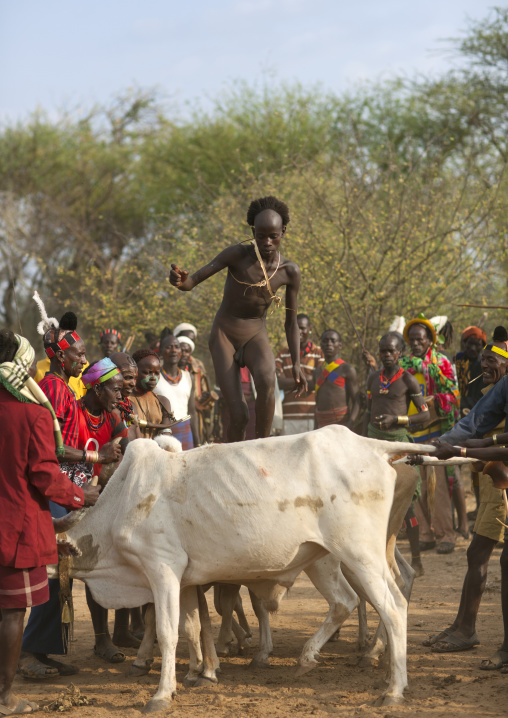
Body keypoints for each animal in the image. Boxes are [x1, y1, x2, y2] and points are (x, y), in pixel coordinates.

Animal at [59, 427, 434, 712]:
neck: (122, 501)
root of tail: (371, 445)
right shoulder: (185, 580)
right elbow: (192, 627)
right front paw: (198, 673)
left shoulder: (161, 569)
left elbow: (167, 631)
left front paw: (162, 694)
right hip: (338, 558)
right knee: (360, 600)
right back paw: (323, 659)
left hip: (358, 554)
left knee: (391, 607)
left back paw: (392, 688)